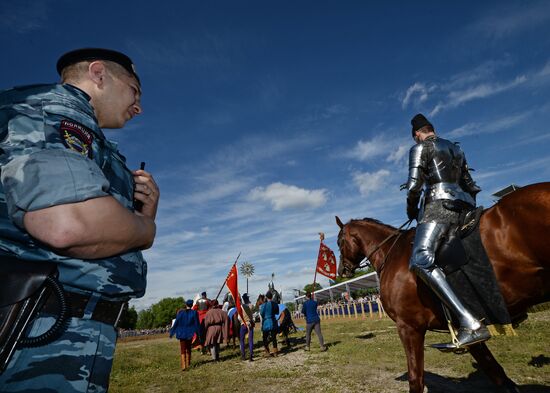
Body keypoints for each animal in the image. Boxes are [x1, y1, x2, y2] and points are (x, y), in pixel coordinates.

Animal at [336, 182, 550, 392]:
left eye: (339, 242)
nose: (342, 270)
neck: (392, 253)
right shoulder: (468, 332)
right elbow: (497, 374)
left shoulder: (408, 327)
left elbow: (416, 380)